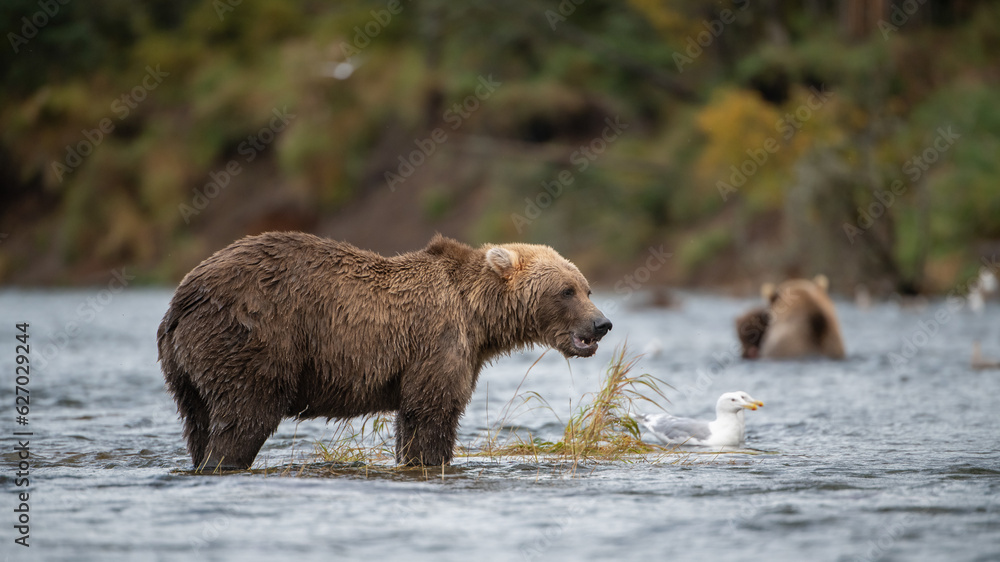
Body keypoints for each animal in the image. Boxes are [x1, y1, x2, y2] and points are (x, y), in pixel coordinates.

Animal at [157, 232, 612, 470]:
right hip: (252, 340)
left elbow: (414, 421)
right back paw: (225, 460)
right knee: (244, 416)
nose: (602, 324)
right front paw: (433, 459)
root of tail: (184, 296)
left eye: (587, 288)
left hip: (184, 366)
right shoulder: (439, 341)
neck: (479, 318)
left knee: (198, 420)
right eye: (566, 290)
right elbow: (431, 415)